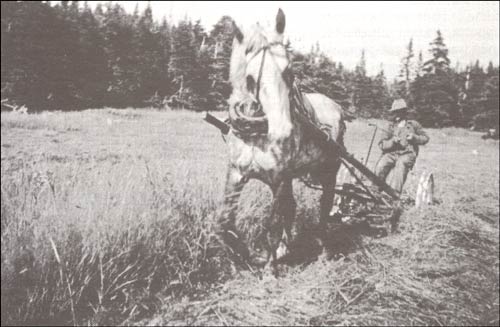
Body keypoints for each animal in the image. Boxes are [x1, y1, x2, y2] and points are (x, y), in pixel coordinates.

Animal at [219, 10, 348, 272]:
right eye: (250, 78)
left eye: (290, 73)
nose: (282, 131)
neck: (256, 134)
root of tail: (335, 105)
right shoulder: (236, 173)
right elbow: (226, 223)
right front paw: (245, 257)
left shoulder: (278, 178)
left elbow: (273, 226)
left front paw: (270, 269)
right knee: (292, 207)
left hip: (328, 171)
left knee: (325, 205)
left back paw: (323, 251)